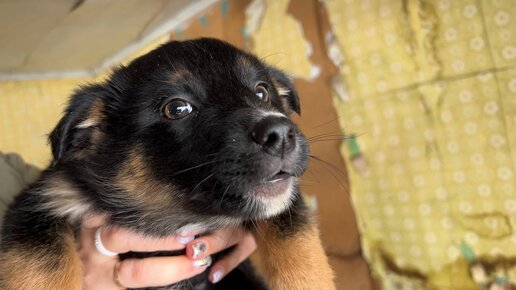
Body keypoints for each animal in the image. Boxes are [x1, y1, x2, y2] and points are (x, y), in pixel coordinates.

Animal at [0, 38, 334, 290]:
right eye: (177, 108)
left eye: (262, 92)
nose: (280, 135)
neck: (179, 218)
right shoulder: (47, 199)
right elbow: (41, 265)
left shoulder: (282, 201)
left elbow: (297, 243)